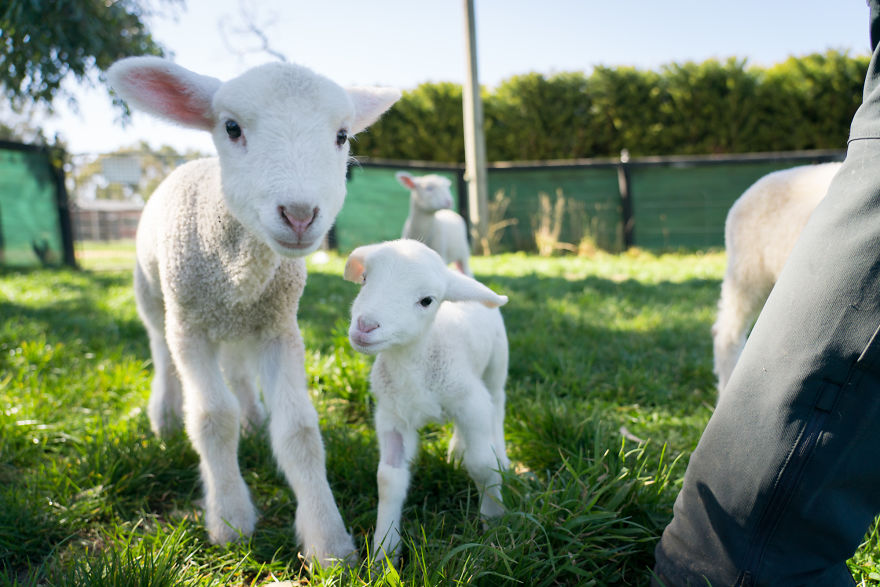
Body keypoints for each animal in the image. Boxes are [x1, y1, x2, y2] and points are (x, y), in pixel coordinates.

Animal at [106, 56, 399, 565]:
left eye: (342, 135)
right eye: (231, 128)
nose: (299, 215)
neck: (236, 273)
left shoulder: (278, 326)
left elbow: (299, 430)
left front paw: (328, 542)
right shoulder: (190, 327)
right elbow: (211, 418)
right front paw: (230, 521)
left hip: (241, 328)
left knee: (238, 372)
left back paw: (253, 416)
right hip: (154, 297)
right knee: (160, 351)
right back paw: (165, 417)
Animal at [343, 239, 509, 564]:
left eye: (426, 301)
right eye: (365, 279)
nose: (365, 326)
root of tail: (462, 279)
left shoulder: (473, 403)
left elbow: (482, 464)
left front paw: (494, 521)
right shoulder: (392, 416)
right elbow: (388, 479)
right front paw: (384, 553)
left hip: (496, 363)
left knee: (498, 403)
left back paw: (502, 455)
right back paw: (456, 451)